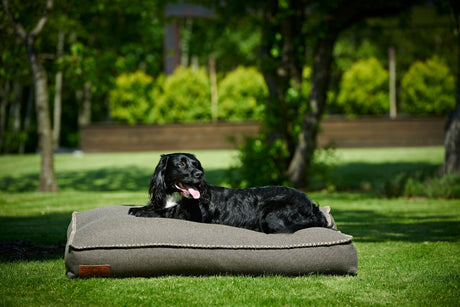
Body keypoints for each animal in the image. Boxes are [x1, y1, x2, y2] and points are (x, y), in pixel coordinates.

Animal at [127, 153, 328, 235]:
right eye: (181, 164)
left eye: (197, 165)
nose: (199, 174)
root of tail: (311, 205)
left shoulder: (183, 215)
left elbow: (162, 212)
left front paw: (139, 211)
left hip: (271, 214)